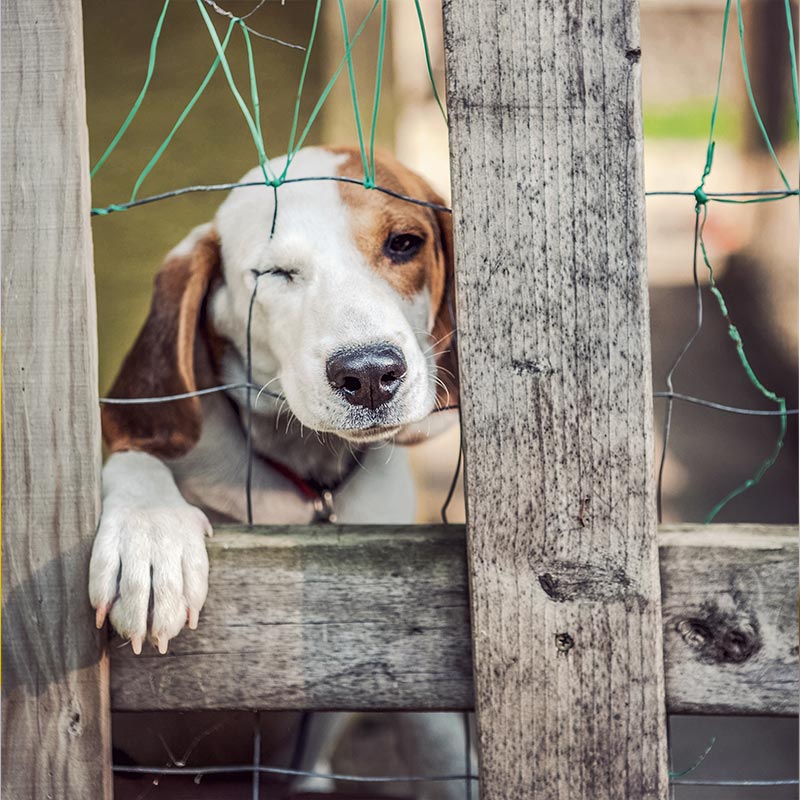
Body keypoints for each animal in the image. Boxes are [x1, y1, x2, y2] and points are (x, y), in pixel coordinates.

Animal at [89, 147, 468, 796]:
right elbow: (136, 457)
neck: (302, 478)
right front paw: (150, 535)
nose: (370, 373)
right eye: (275, 274)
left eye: (403, 244)